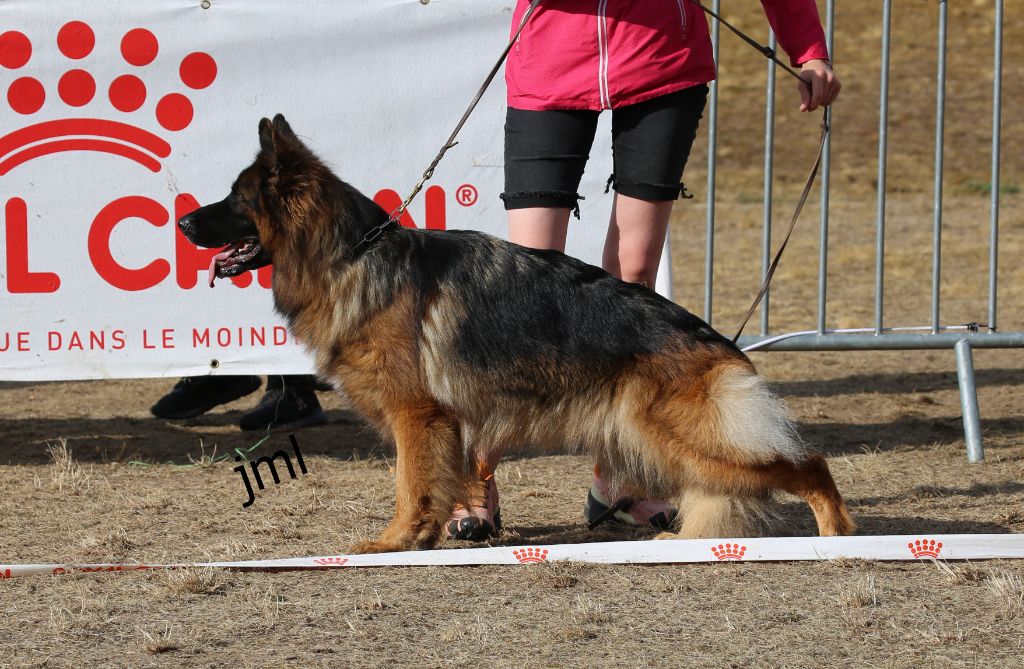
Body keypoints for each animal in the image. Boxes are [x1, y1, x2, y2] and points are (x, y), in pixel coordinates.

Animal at [180, 116, 851, 553]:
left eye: (234, 199)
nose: (182, 220)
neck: (349, 253)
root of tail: (717, 342)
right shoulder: (440, 424)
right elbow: (436, 484)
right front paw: (429, 538)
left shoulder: (416, 415)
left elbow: (409, 485)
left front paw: (393, 542)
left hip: (688, 437)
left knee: (811, 464)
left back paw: (836, 536)